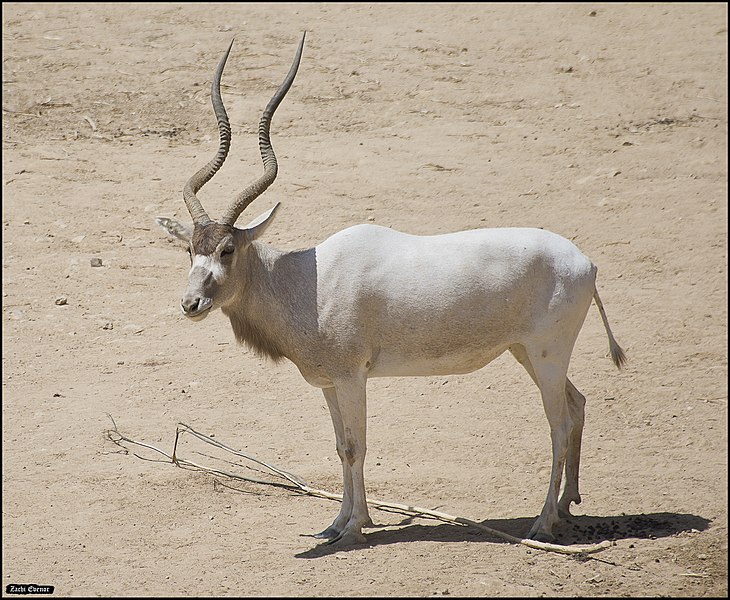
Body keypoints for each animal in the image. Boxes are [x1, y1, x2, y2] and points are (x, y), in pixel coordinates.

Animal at [156, 34, 624, 548]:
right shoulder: (329, 383)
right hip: (528, 353)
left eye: (227, 249)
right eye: (190, 249)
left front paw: (355, 527)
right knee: (577, 406)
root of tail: (587, 263)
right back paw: (567, 506)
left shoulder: (352, 378)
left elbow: (356, 447)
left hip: (547, 354)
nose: (191, 303)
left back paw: (542, 523)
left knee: (558, 424)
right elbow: (340, 446)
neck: (305, 280)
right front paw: (336, 522)